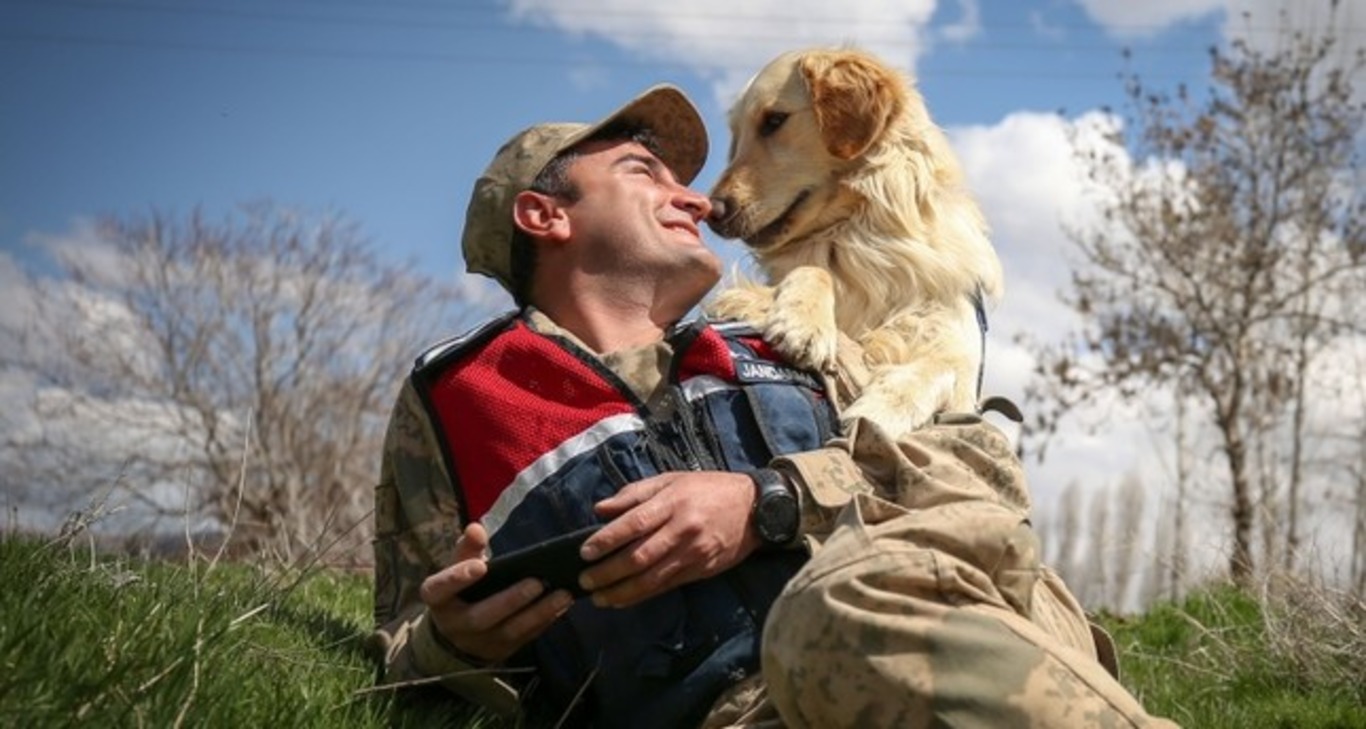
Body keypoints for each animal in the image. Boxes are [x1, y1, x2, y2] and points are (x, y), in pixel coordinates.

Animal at [704, 48, 1005, 442]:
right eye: (736, 137)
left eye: (774, 121)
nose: (712, 212)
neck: (857, 236)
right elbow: (814, 270)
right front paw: (805, 323)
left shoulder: (960, 364)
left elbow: (939, 369)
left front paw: (879, 411)